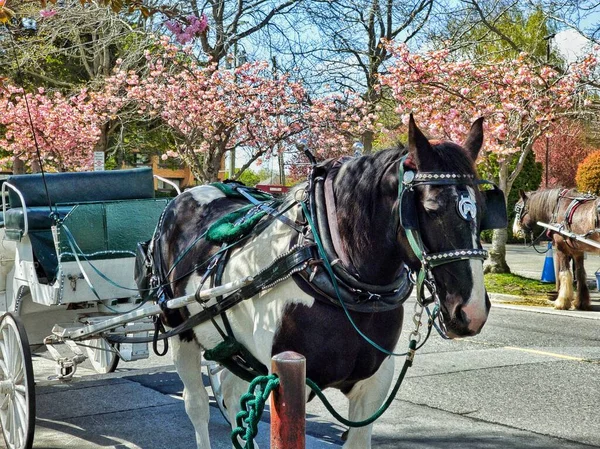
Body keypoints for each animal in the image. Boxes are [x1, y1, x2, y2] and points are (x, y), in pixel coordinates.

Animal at [152, 117, 494, 446]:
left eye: (484, 207)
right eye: (431, 208)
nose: (472, 311)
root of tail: (185, 195)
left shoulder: (374, 382)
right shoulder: (287, 380)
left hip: (233, 350)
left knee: (231, 394)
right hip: (180, 331)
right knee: (197, 404)